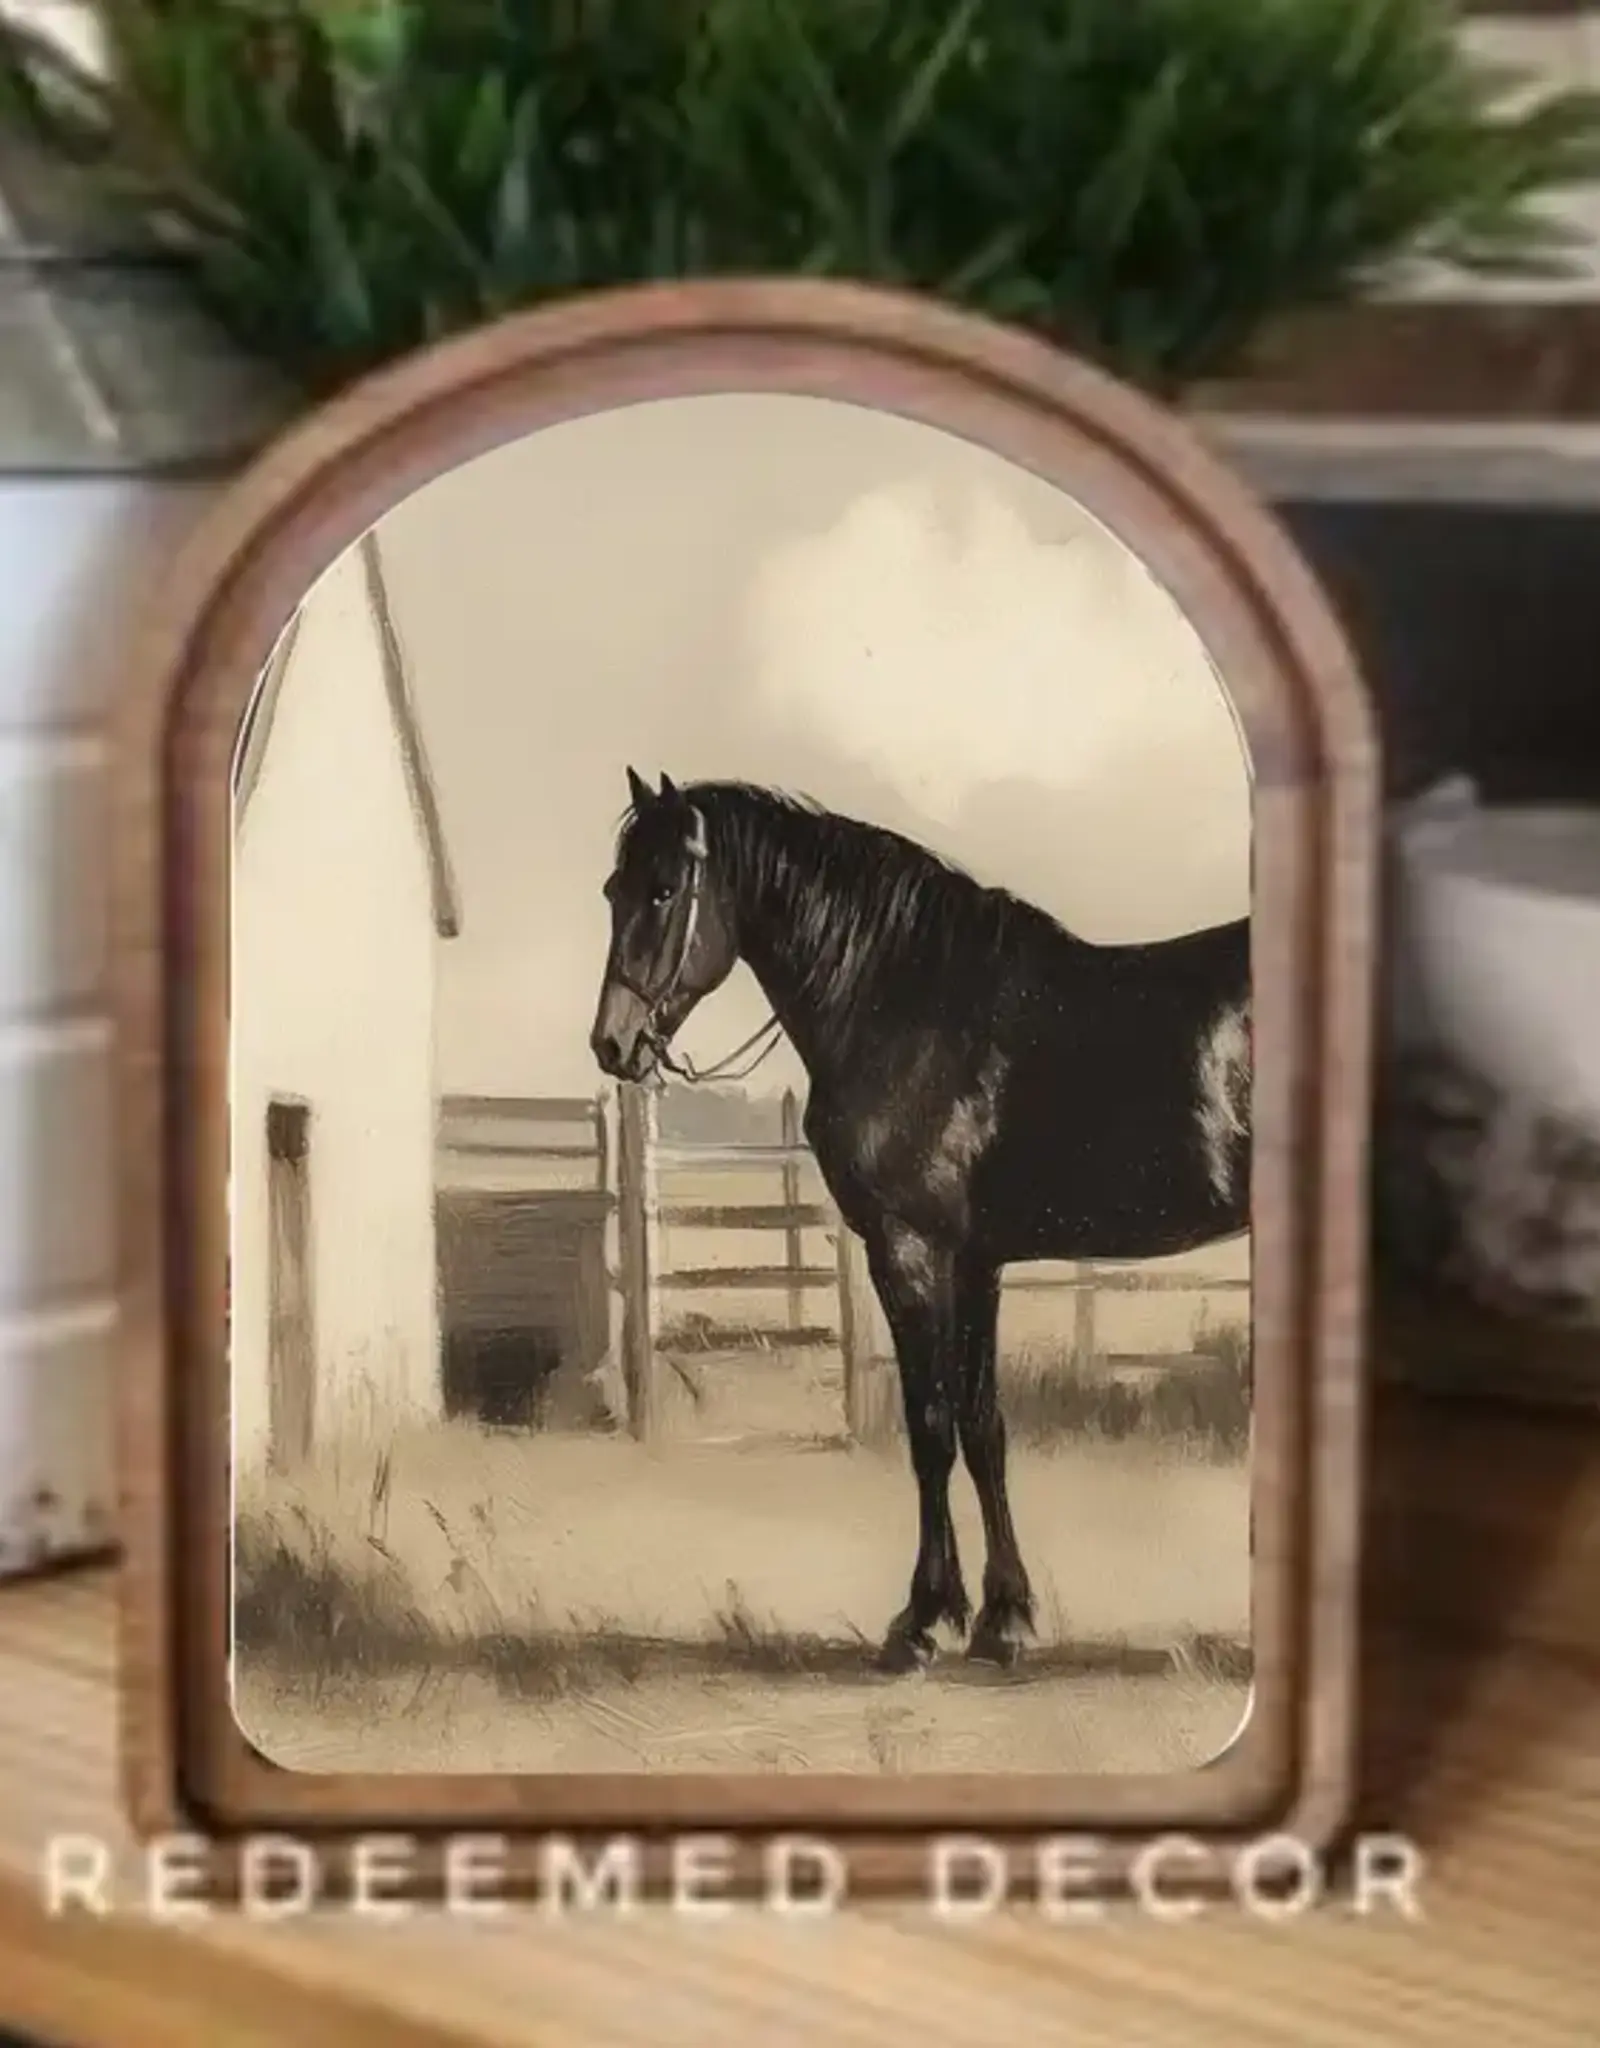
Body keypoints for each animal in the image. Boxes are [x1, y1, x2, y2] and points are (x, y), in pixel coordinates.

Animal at [590, 768, 1251, 1673]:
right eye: (613, 889)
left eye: (661, 891)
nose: (613, 1045)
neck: (913, 1009)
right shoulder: (975, 1261)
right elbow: (982, 1425)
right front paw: (1003, 1618)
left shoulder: (909, 1252)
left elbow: (931, 1425)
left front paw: (923, 1621)